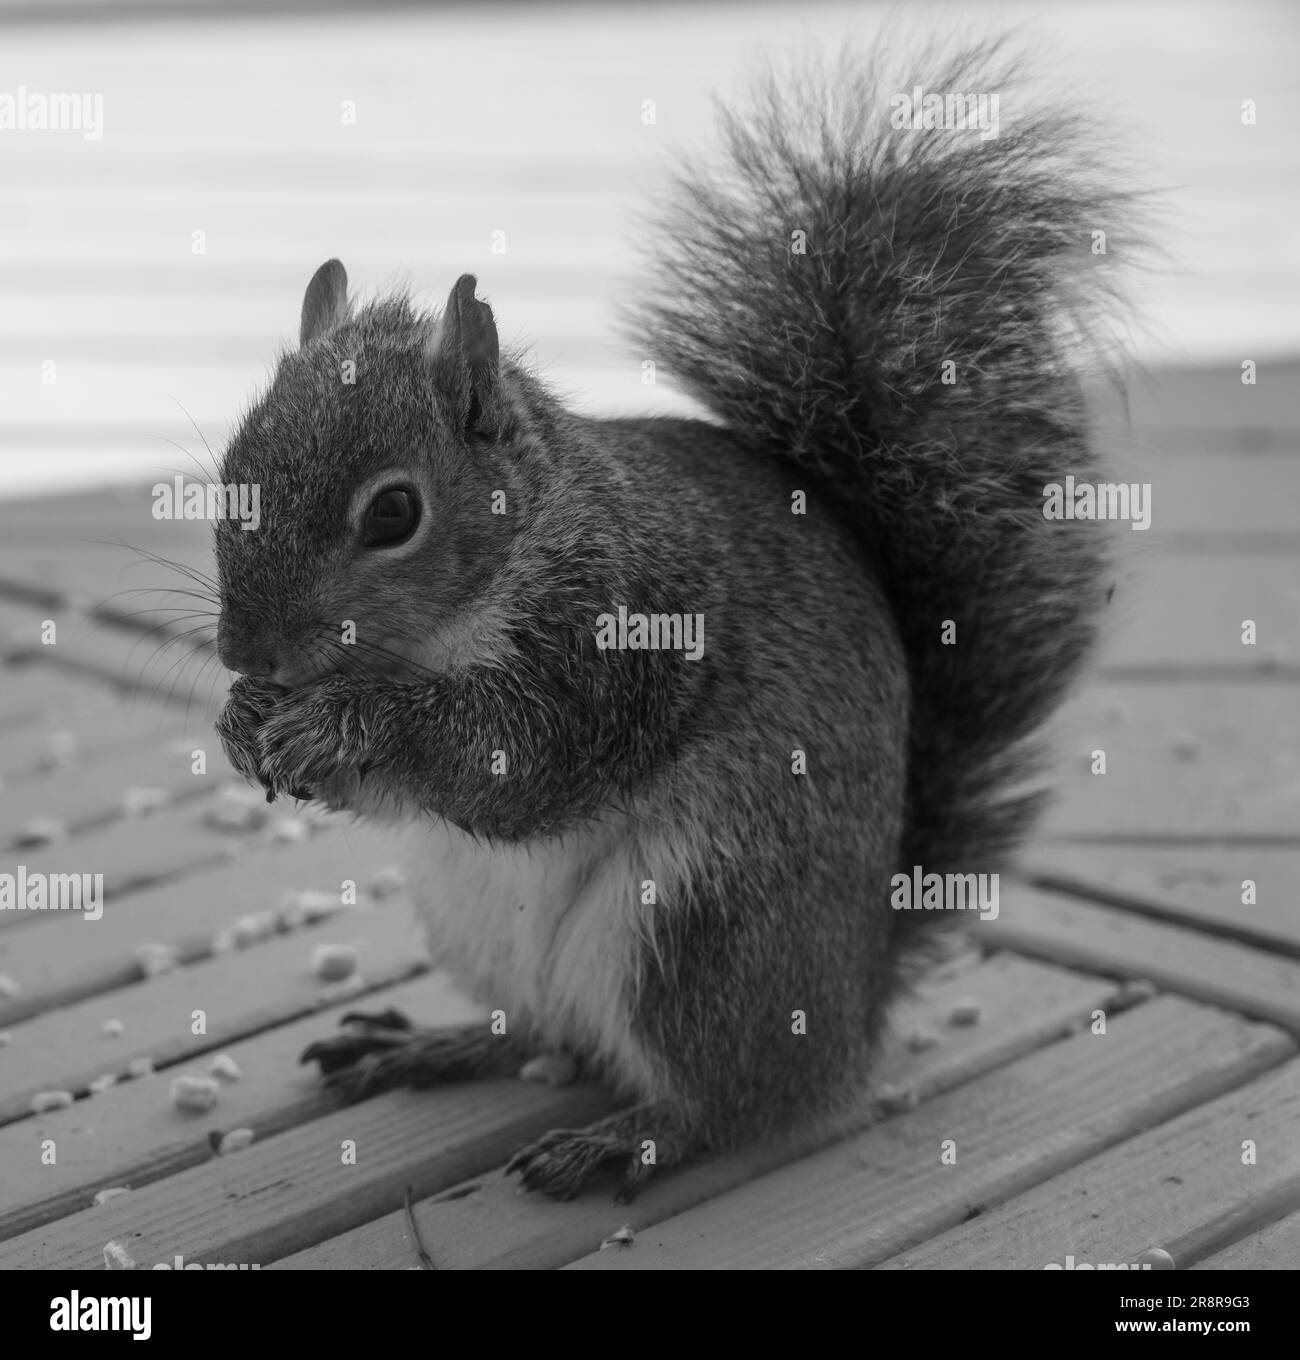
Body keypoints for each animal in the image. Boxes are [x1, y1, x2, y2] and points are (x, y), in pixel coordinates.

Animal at [214, 40, 1127, 1201]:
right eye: (233, 462)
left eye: (392, 513)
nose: (244, 648)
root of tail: (856, 1001)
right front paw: (243, 716)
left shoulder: (626, 632)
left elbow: (514, 758)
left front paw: (347, 722)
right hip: (480, 926)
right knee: (544, 1033)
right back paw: (430, 1046)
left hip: (698, 923)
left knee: (729, 1099)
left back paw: (628, 1137)